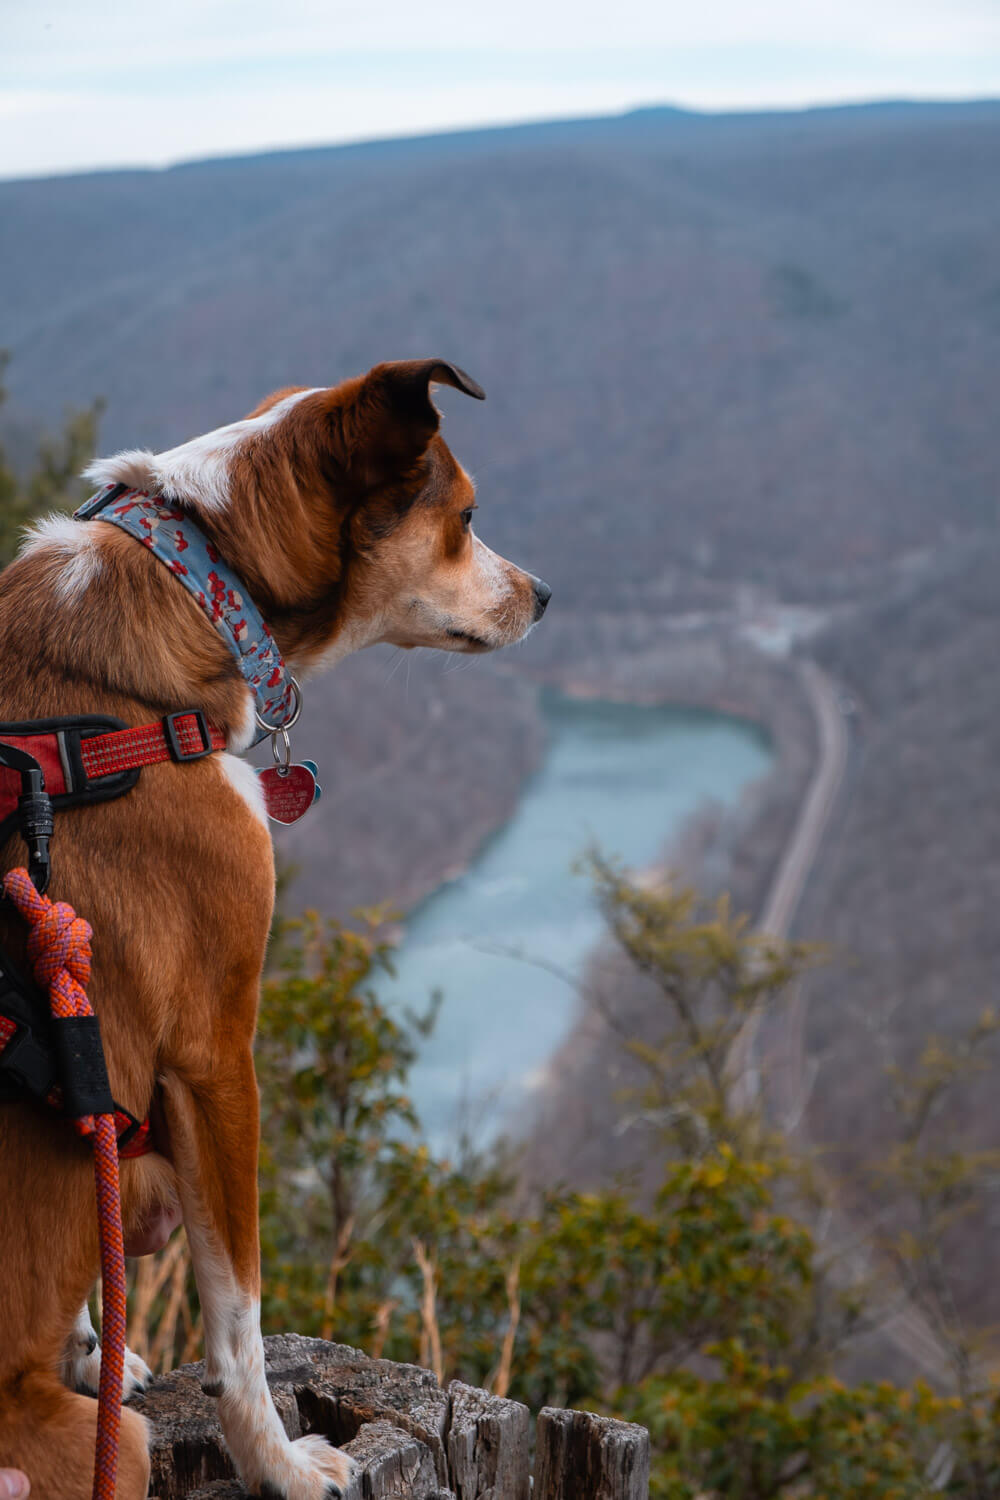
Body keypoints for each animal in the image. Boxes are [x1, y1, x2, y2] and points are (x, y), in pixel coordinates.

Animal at [0, 363, 551, 1500]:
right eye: (467, 518)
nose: (545, 592)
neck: (191, 581)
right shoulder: (216, 1053)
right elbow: (239, 1309)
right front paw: (282, 1464)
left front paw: (91, 1350)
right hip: (112, 1451)